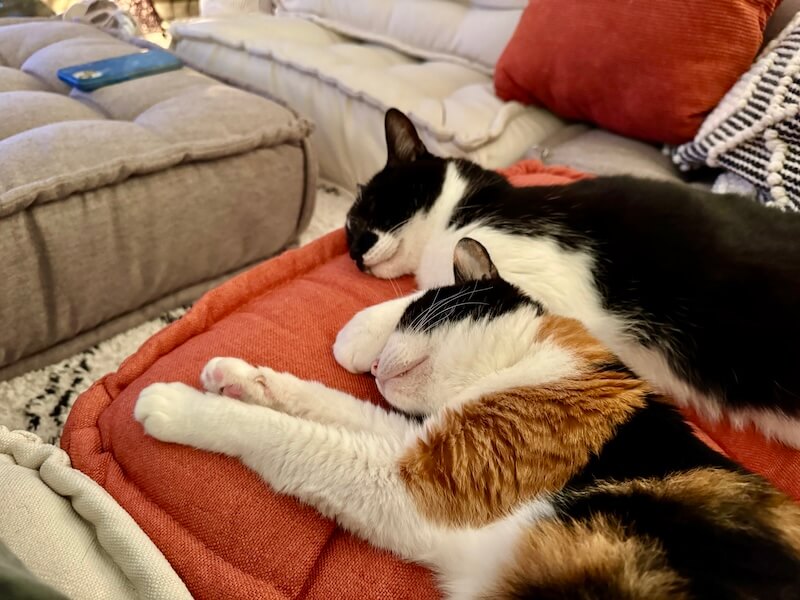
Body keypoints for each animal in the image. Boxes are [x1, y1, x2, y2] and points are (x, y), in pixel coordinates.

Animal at [135, 238, 800, 600]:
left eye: (412, 313)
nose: (373, 364)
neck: (526, 361)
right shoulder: (426, 437)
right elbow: (323, 404)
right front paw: (237, 377)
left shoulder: (422, 484)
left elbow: (289, 438)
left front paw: (177, 405)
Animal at [340, 108, 800, 448]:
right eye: (347, 233)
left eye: (368, 211)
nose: (356, 255)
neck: (464, 210)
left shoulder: (543, 279)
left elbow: (446, 293)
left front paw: (359, 333)